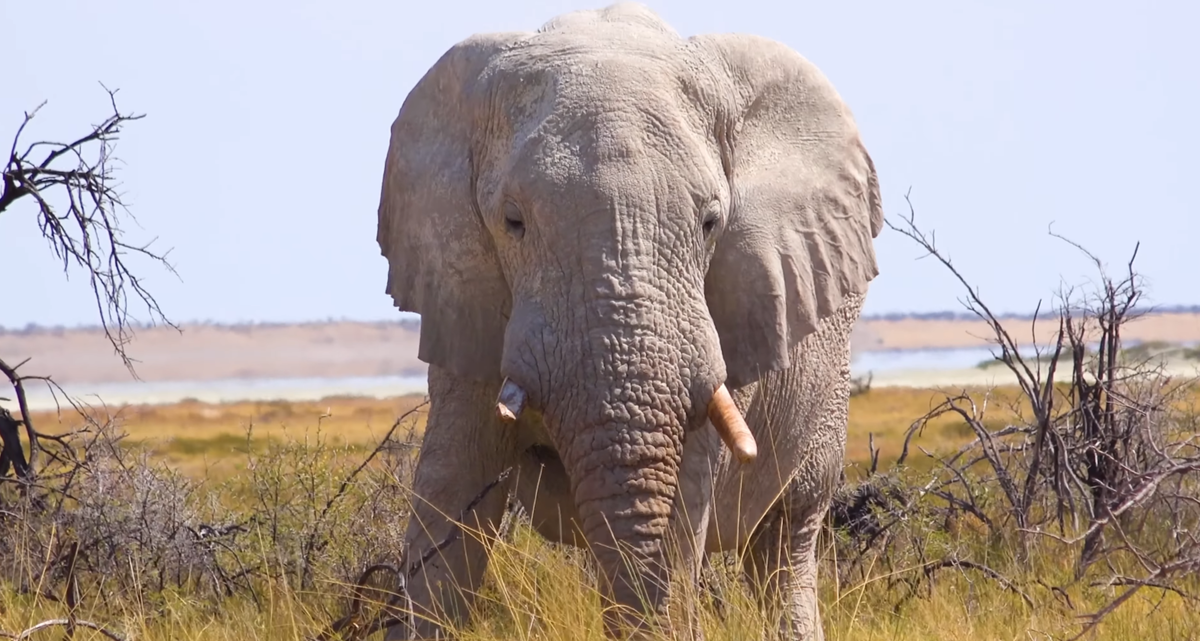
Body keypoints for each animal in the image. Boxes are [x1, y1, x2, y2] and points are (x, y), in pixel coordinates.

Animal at [374, 3, 883, 638]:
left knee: (786, 540)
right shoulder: (466, 299)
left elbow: (680, 503)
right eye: (513, 222)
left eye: (711, 222)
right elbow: (451, 483)